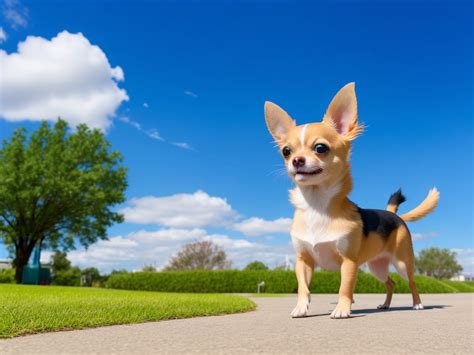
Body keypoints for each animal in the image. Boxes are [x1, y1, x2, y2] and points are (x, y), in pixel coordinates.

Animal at [264, 83, 438, 320]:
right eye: (286, 151)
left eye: (320, 148)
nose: (296, 160)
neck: (316, 205)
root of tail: (394, 215)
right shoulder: (303, 261)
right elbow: (303, 287)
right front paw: (300, 308)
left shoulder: (348, 262)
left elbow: (344, 287)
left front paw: (342, 309)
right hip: (376, 266)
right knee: (391, 283)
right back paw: (385, 305)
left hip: (403, 262)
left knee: (411, 282)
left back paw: (417, 304)